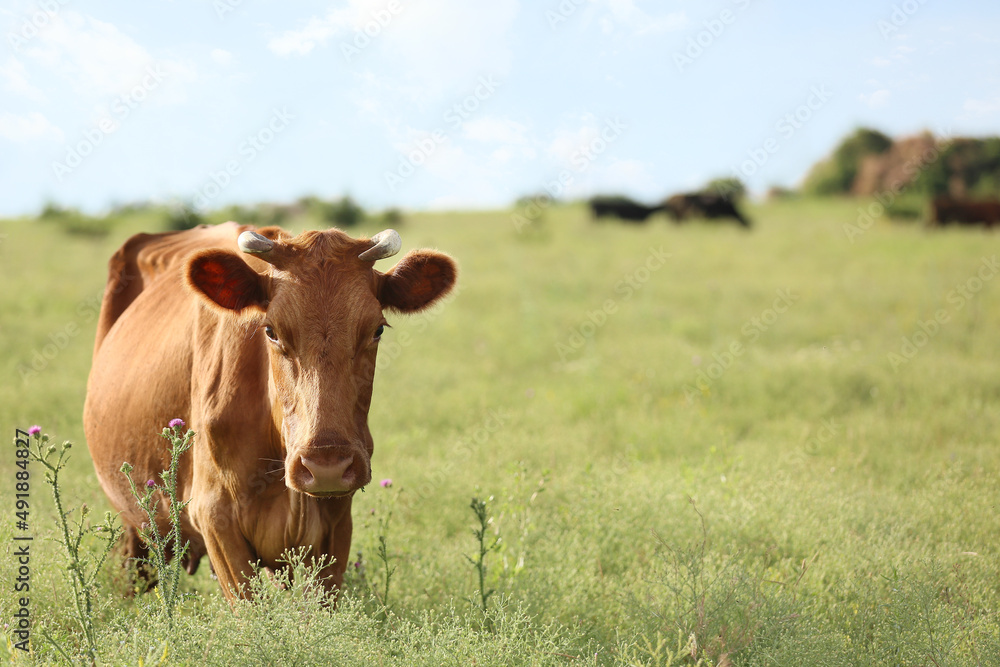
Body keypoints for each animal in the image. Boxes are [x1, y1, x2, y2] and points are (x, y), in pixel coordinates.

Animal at [84, 223, 458, 600]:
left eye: (377, 329)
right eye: (271, 331)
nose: (326, 466)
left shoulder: (336, 524)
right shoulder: (215, 519)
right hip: (137, 525)